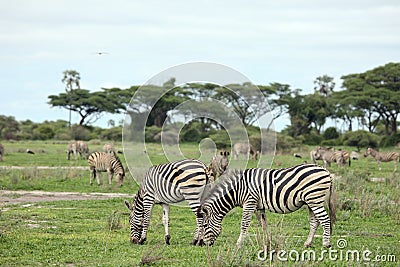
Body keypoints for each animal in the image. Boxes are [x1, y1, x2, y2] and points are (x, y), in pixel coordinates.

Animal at [198, 165, 336, 249]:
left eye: (204, 226)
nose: (202, 244)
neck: (238, 189)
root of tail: (326, 171)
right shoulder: (258, 206)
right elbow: (263, 224)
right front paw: (267, 241)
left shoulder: (249, 202)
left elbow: (244, 223)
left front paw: (239, 243)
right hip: (311, 202)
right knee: (315, 222)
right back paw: (307, 243)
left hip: (315, 200)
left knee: (325, 220)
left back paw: (326, 244)